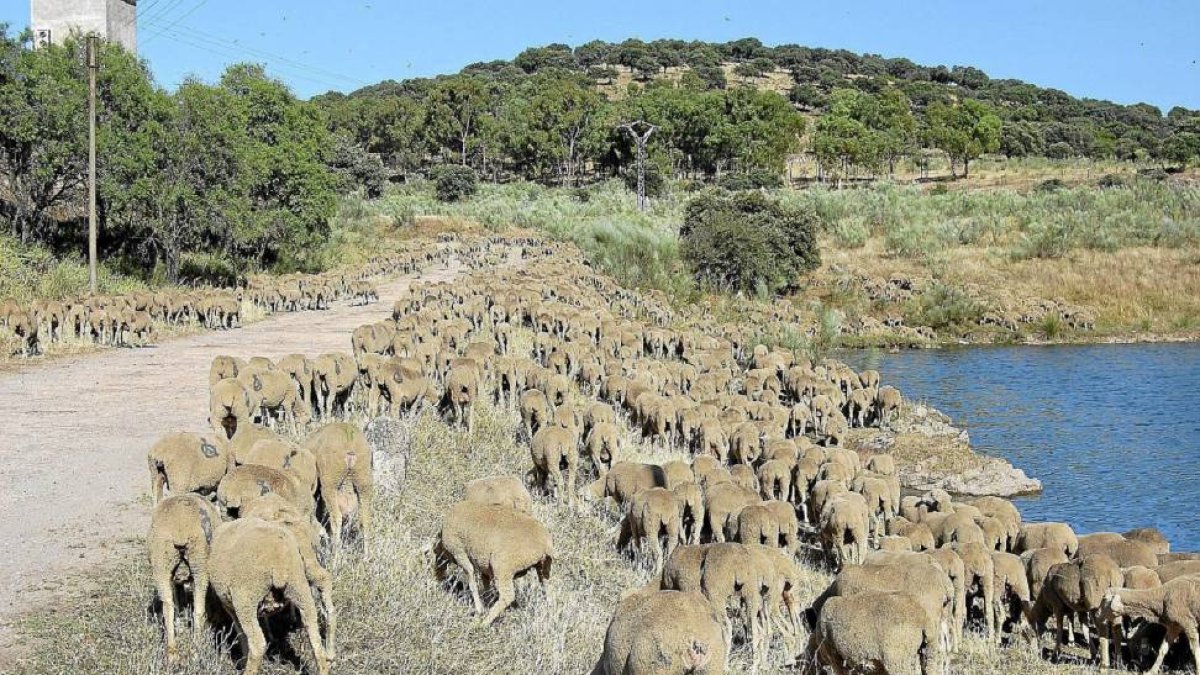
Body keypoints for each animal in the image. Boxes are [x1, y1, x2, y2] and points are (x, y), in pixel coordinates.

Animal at [147, 494, 221, 664]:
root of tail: (180, 525)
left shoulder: (175, 579)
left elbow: (177, 599)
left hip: (161, 561)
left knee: (168, 606)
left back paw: (172, 653)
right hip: (200, 562)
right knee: (198, 609)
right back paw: (197, 650)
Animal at [208, 518, 330, 675]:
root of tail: (279, 557)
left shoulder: (230, 607)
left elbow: (241, 634)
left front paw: (243, 661)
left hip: (246, 598)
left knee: (257, 643)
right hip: (298, 584)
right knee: (314, 633)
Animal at [302, 422, 375, 552]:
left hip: (330, 486)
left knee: (336, 518)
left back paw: (334, 554)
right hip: (364, 484)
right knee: (365, 519)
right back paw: (366, 555)